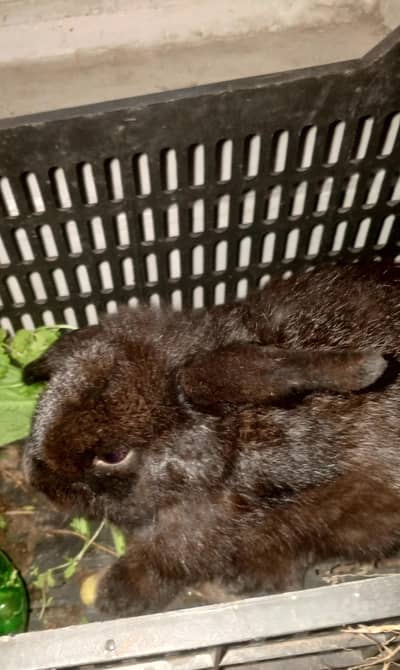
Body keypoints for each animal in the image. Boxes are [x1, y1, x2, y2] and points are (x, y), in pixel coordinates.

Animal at [22, 260, 400, 617]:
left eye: (114, 455)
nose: (39, 484)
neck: (231, 444)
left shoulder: (200, 530)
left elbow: (164, 559)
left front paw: (117, 596)